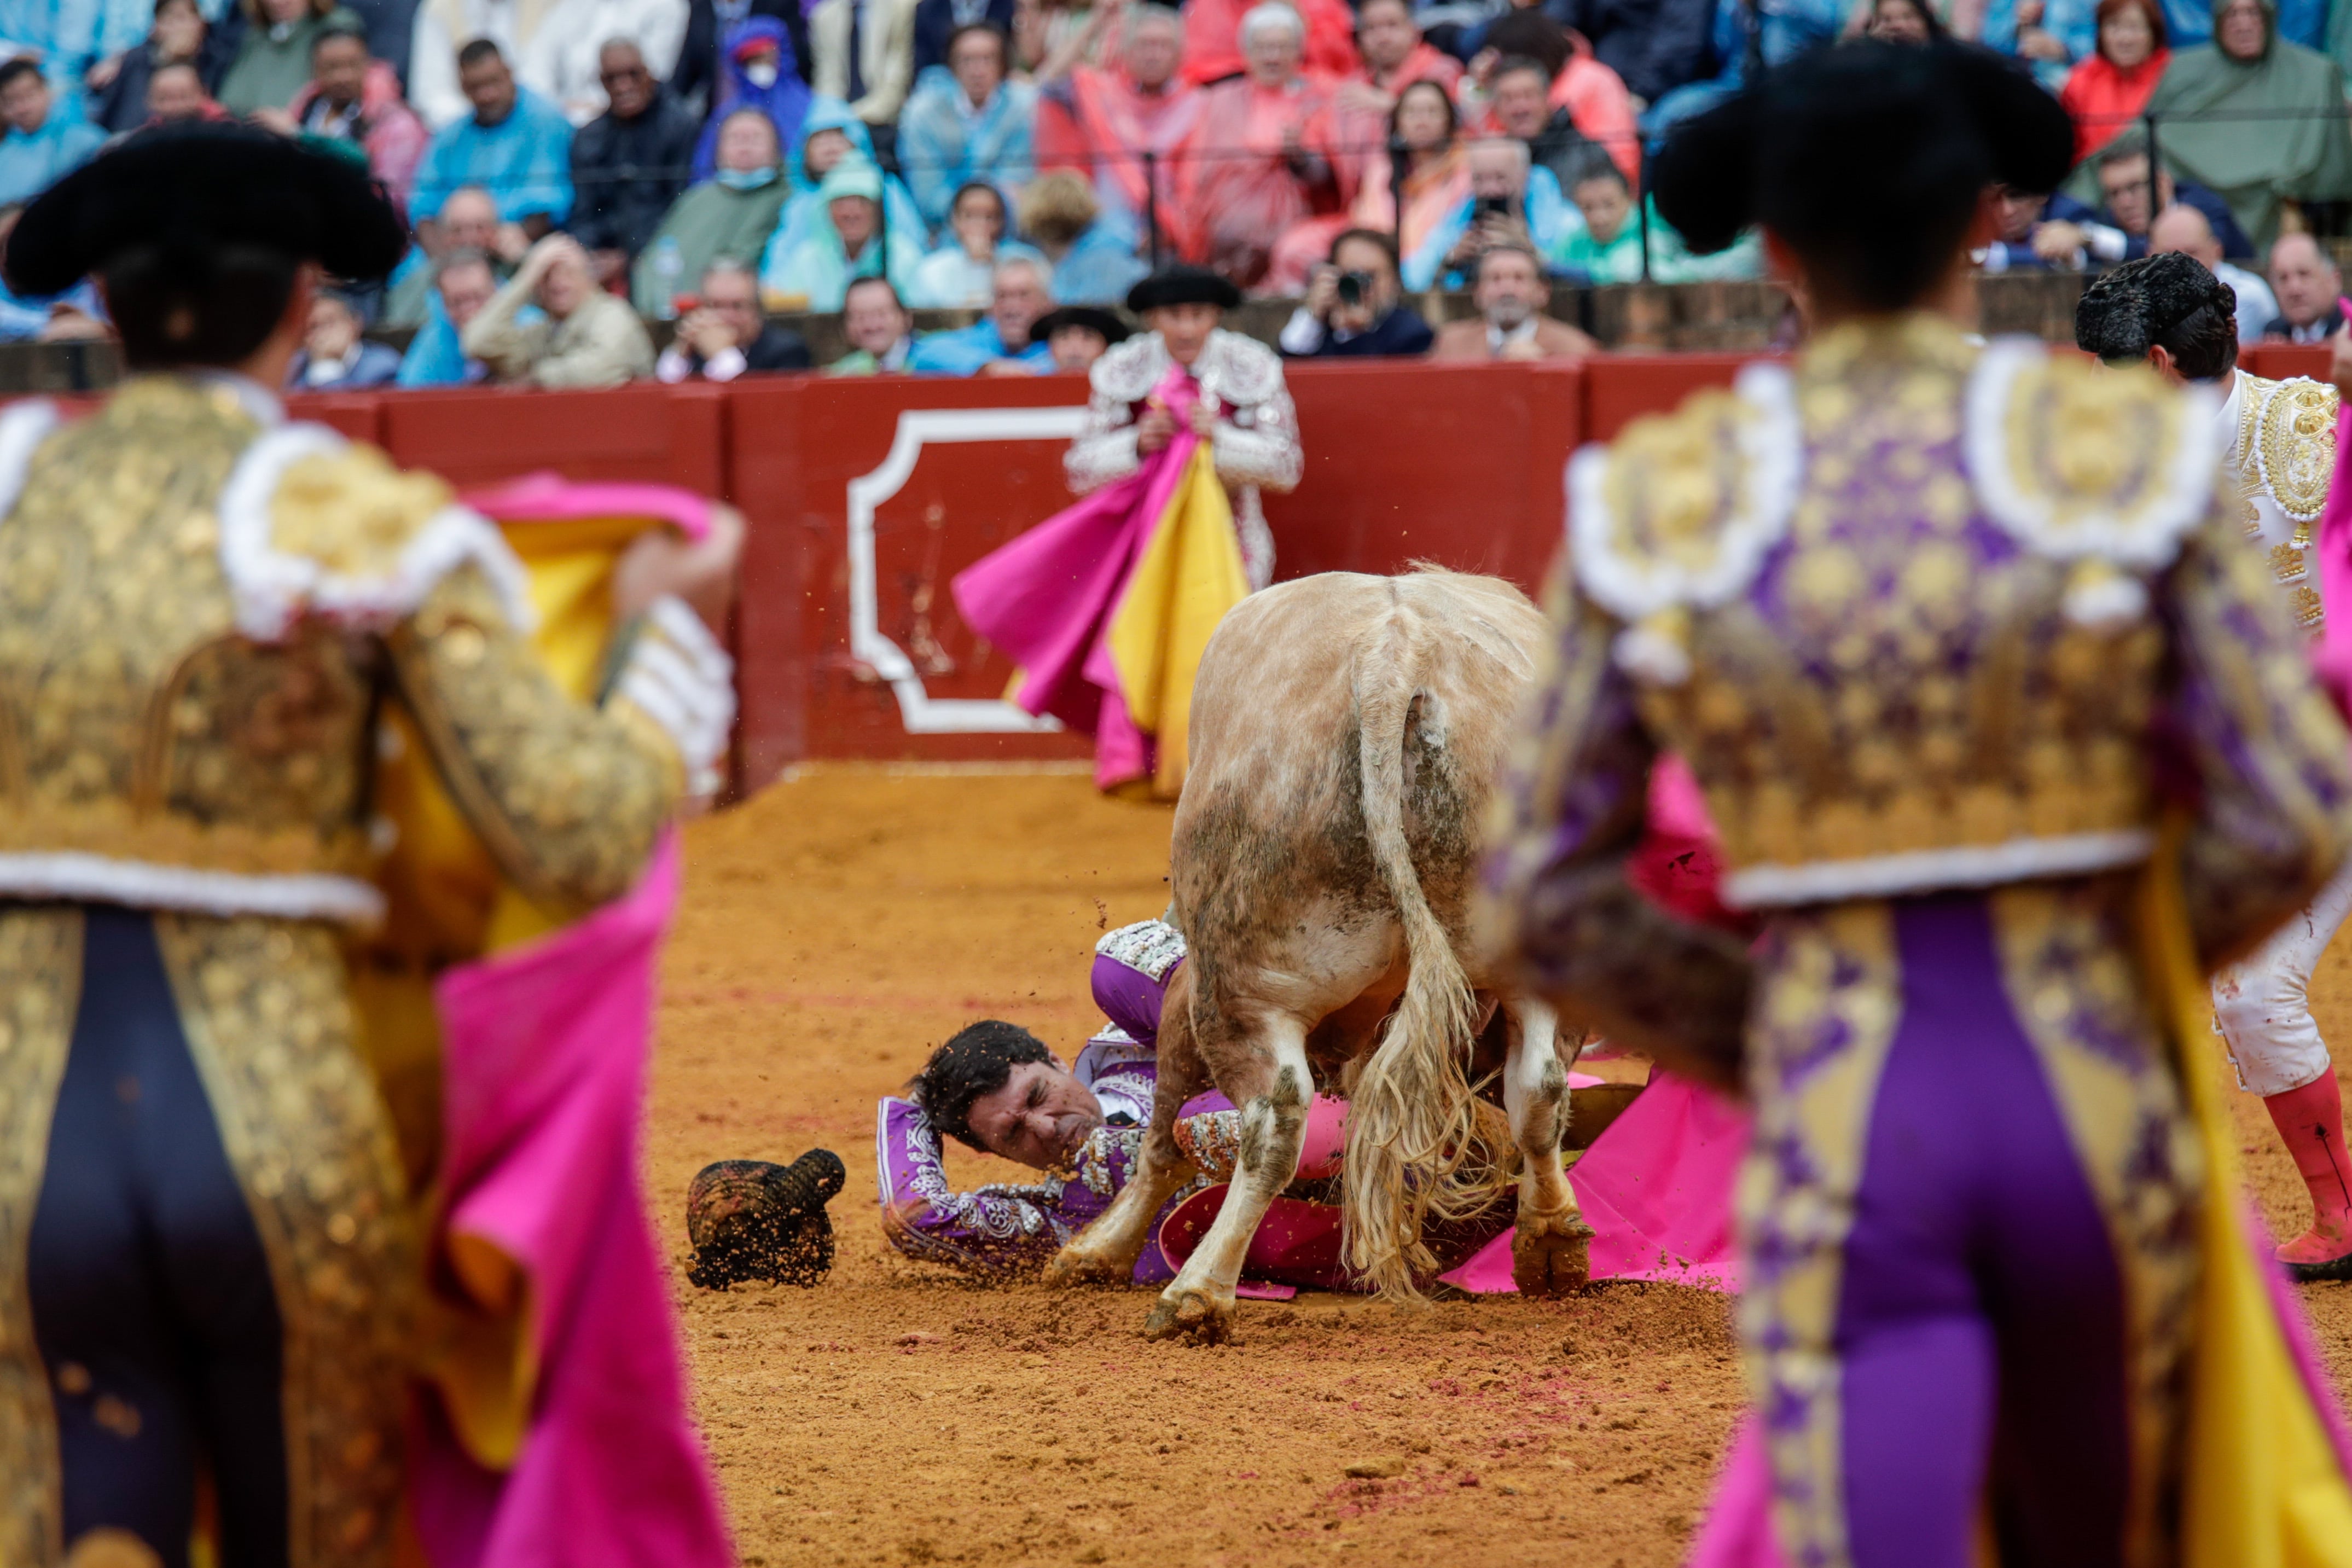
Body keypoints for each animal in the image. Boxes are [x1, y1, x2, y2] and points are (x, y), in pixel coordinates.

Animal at [1039, 571, 1590, 1344]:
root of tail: (1393, 662)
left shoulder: (1191, 980)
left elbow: (1163, 1133)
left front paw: (1099, 1251)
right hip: (1534, 953)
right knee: (1540, 1089)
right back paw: (1551, 1239)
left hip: (1242, 985)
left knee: (1273, 1123)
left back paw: (1198, 1293)